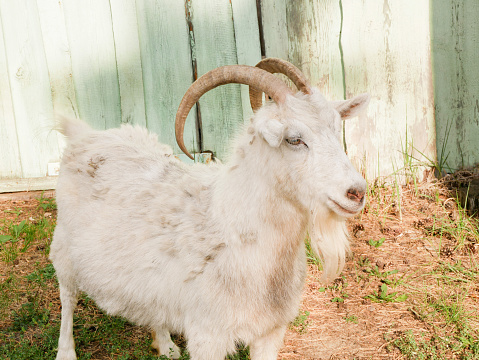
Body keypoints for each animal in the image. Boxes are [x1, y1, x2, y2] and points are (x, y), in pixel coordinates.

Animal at [50, 57, 370, 358]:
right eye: (294, 139)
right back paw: (66, 352)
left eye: (336, 129)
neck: (228, 227)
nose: (356, 192)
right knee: (67, 297)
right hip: (64, 248)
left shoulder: (271, 330)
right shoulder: (208, 336)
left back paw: (165, 344)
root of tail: (85, 135)